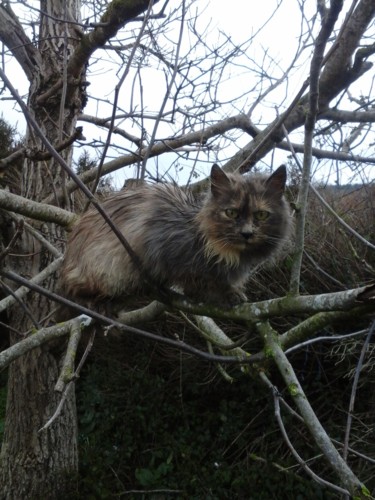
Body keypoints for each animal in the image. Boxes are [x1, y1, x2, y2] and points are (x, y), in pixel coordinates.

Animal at [61, 165, 290, 304]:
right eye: (231, 212)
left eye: (261, 215)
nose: (247, 233)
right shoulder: (161, 243)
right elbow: (197, 279)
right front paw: (226, 293)